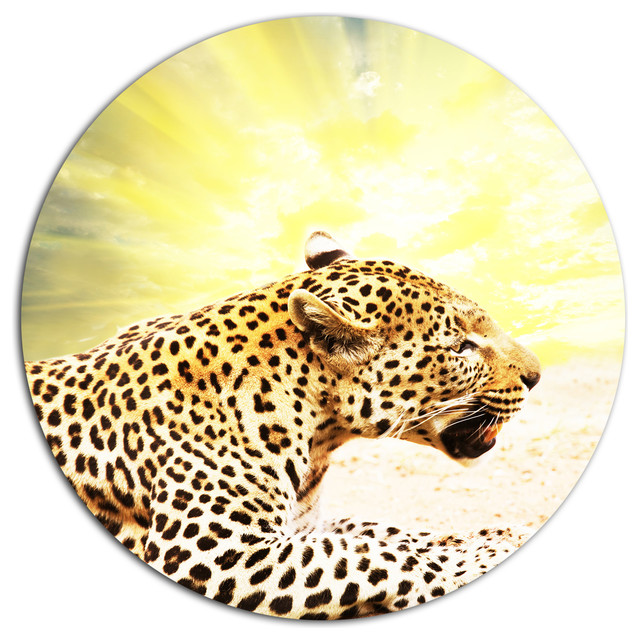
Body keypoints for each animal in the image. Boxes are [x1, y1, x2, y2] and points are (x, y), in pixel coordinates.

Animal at [25, 230, 541, 619]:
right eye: (460, 348)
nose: (537, 376)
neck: (318, 434)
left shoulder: (304, 526)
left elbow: (381, 531)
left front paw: (491, 536)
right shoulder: (214, 554)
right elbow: (374, 557)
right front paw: (480, 556)